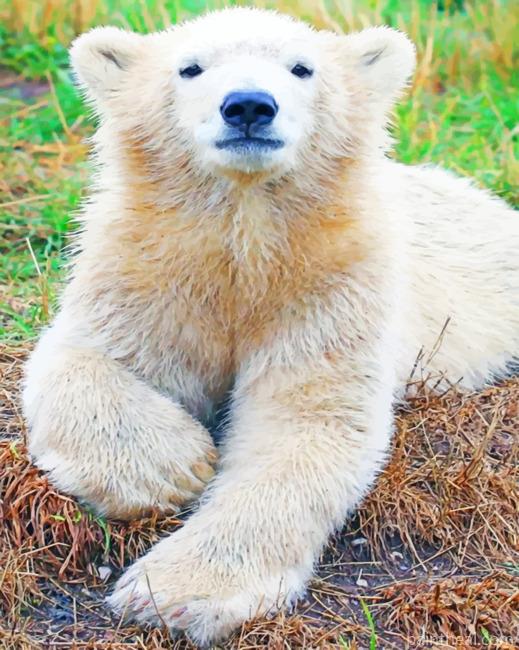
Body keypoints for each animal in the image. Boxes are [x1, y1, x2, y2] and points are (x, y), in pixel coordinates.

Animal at [22, 7, 518, 646]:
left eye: (301, 67)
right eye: (190, 67)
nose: (249, 105)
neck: (247, 240)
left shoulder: (332, 285)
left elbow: (307, 420)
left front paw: (176, 593)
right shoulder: (145, 268)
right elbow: (79, 356)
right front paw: (175, 466)